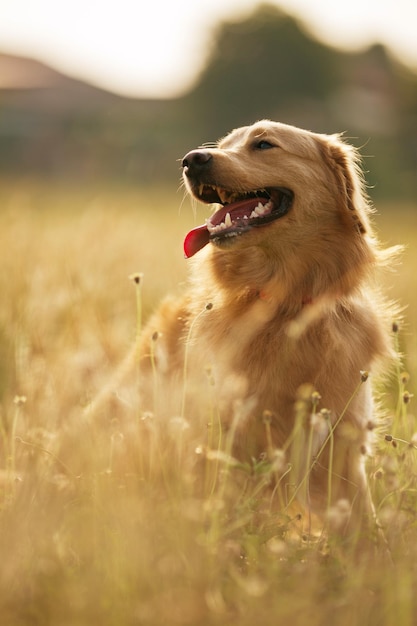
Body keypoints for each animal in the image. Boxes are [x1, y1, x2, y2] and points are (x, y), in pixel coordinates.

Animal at [137, 119, 396, 532]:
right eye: (223, 144)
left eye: (264, 144)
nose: (192, 160)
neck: (285, 307)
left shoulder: (343, 446)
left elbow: (365, 529)